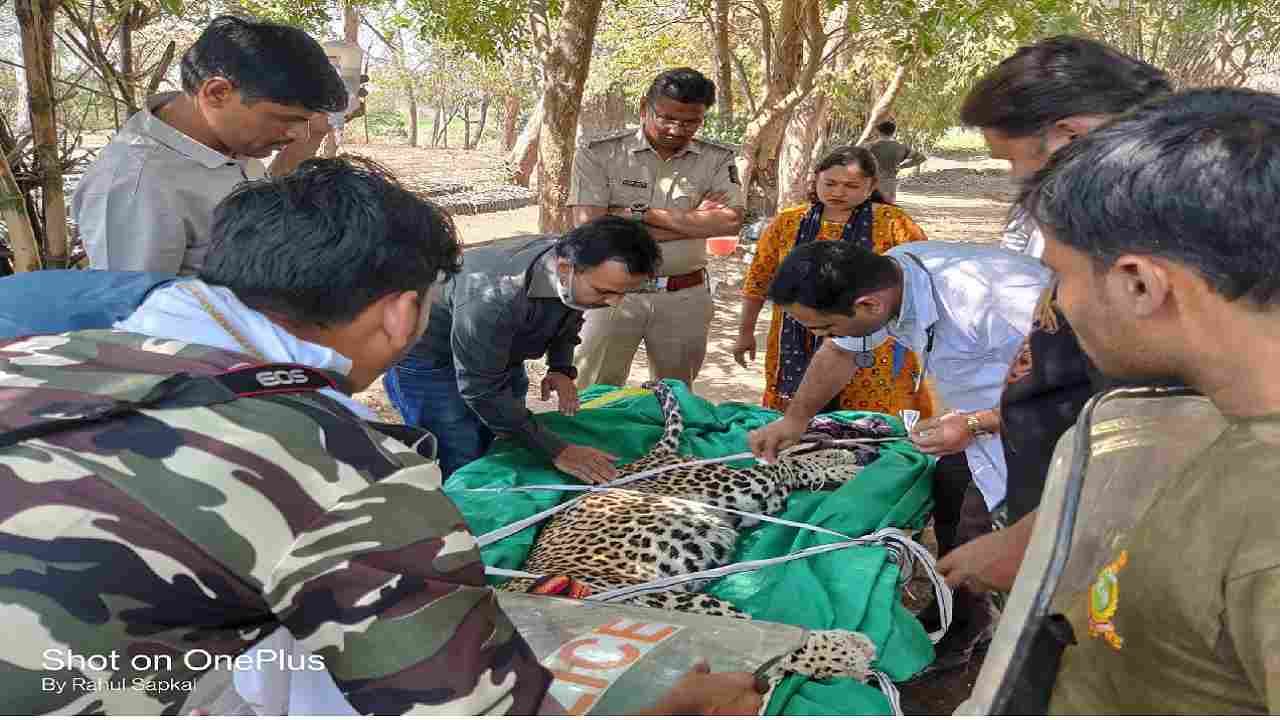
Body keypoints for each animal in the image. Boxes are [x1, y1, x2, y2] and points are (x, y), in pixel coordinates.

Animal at [499, 379, 880, 696]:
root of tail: (645, 460)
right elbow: (764, 643)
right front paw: (840, 654)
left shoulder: (661, 601)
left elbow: (762, 633)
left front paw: (843, 651)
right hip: (743, 505)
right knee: (784, 475)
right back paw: (845, 461)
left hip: (727, 487)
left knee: (779, 466)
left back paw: (842, 455)